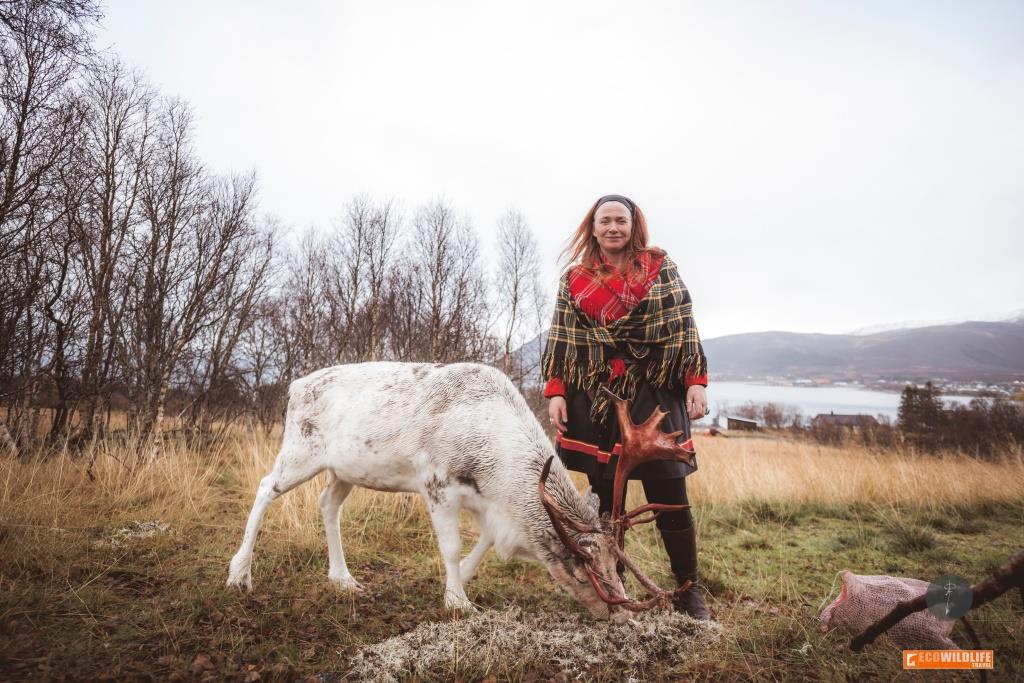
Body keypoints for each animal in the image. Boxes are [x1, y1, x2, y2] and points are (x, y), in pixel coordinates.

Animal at [226, 361, 695, 619]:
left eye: (617, 564)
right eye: (581, 566)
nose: (621, 614)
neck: (494, 459)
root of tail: (293, 386)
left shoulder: (486, 503)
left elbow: (487, 542)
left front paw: (459, 583)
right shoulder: (437, 484)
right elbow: (450, 547)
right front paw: (458, 602)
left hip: (344, 469)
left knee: (328, 504)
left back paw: (343, 579)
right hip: (300, 451)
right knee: (265, 488)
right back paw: (239, 574)